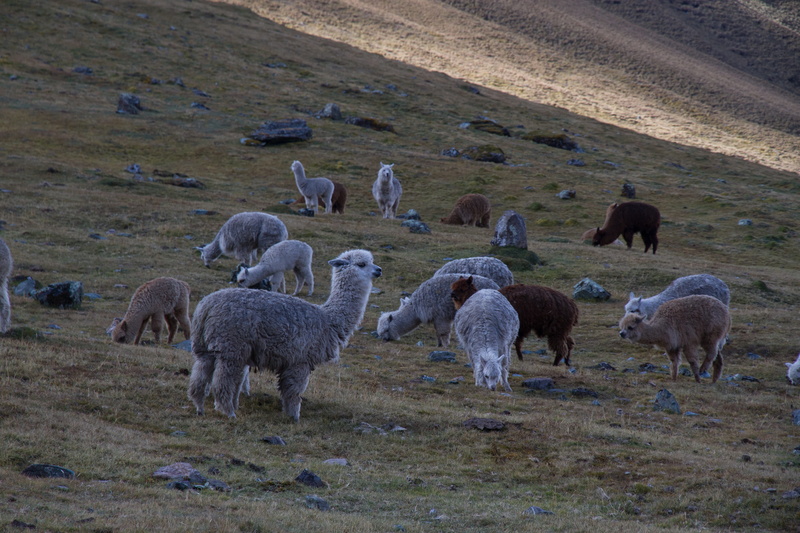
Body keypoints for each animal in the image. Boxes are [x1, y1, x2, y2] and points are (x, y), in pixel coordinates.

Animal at [188, 249, 382, 421]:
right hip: (231, 346)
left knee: (199, 376)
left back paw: (199, 408)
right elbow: (293, 392)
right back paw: (228, 412)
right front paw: (294, 417)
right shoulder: (300, 359)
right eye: (362, 264)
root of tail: (206, 307)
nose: (379, 270)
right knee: (222, 382)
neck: (329, 320)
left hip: (205, 346)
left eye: (372, 260)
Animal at [450, 276, 579, 365]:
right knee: (569, 342)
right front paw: (520, 359)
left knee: (561, 347)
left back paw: (555, 364)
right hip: (561, 328)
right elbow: (516, 343)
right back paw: (567, 362)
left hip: (557, 328)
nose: (452, 295)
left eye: (462, 289)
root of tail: (573, 306)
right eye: (453, 287)